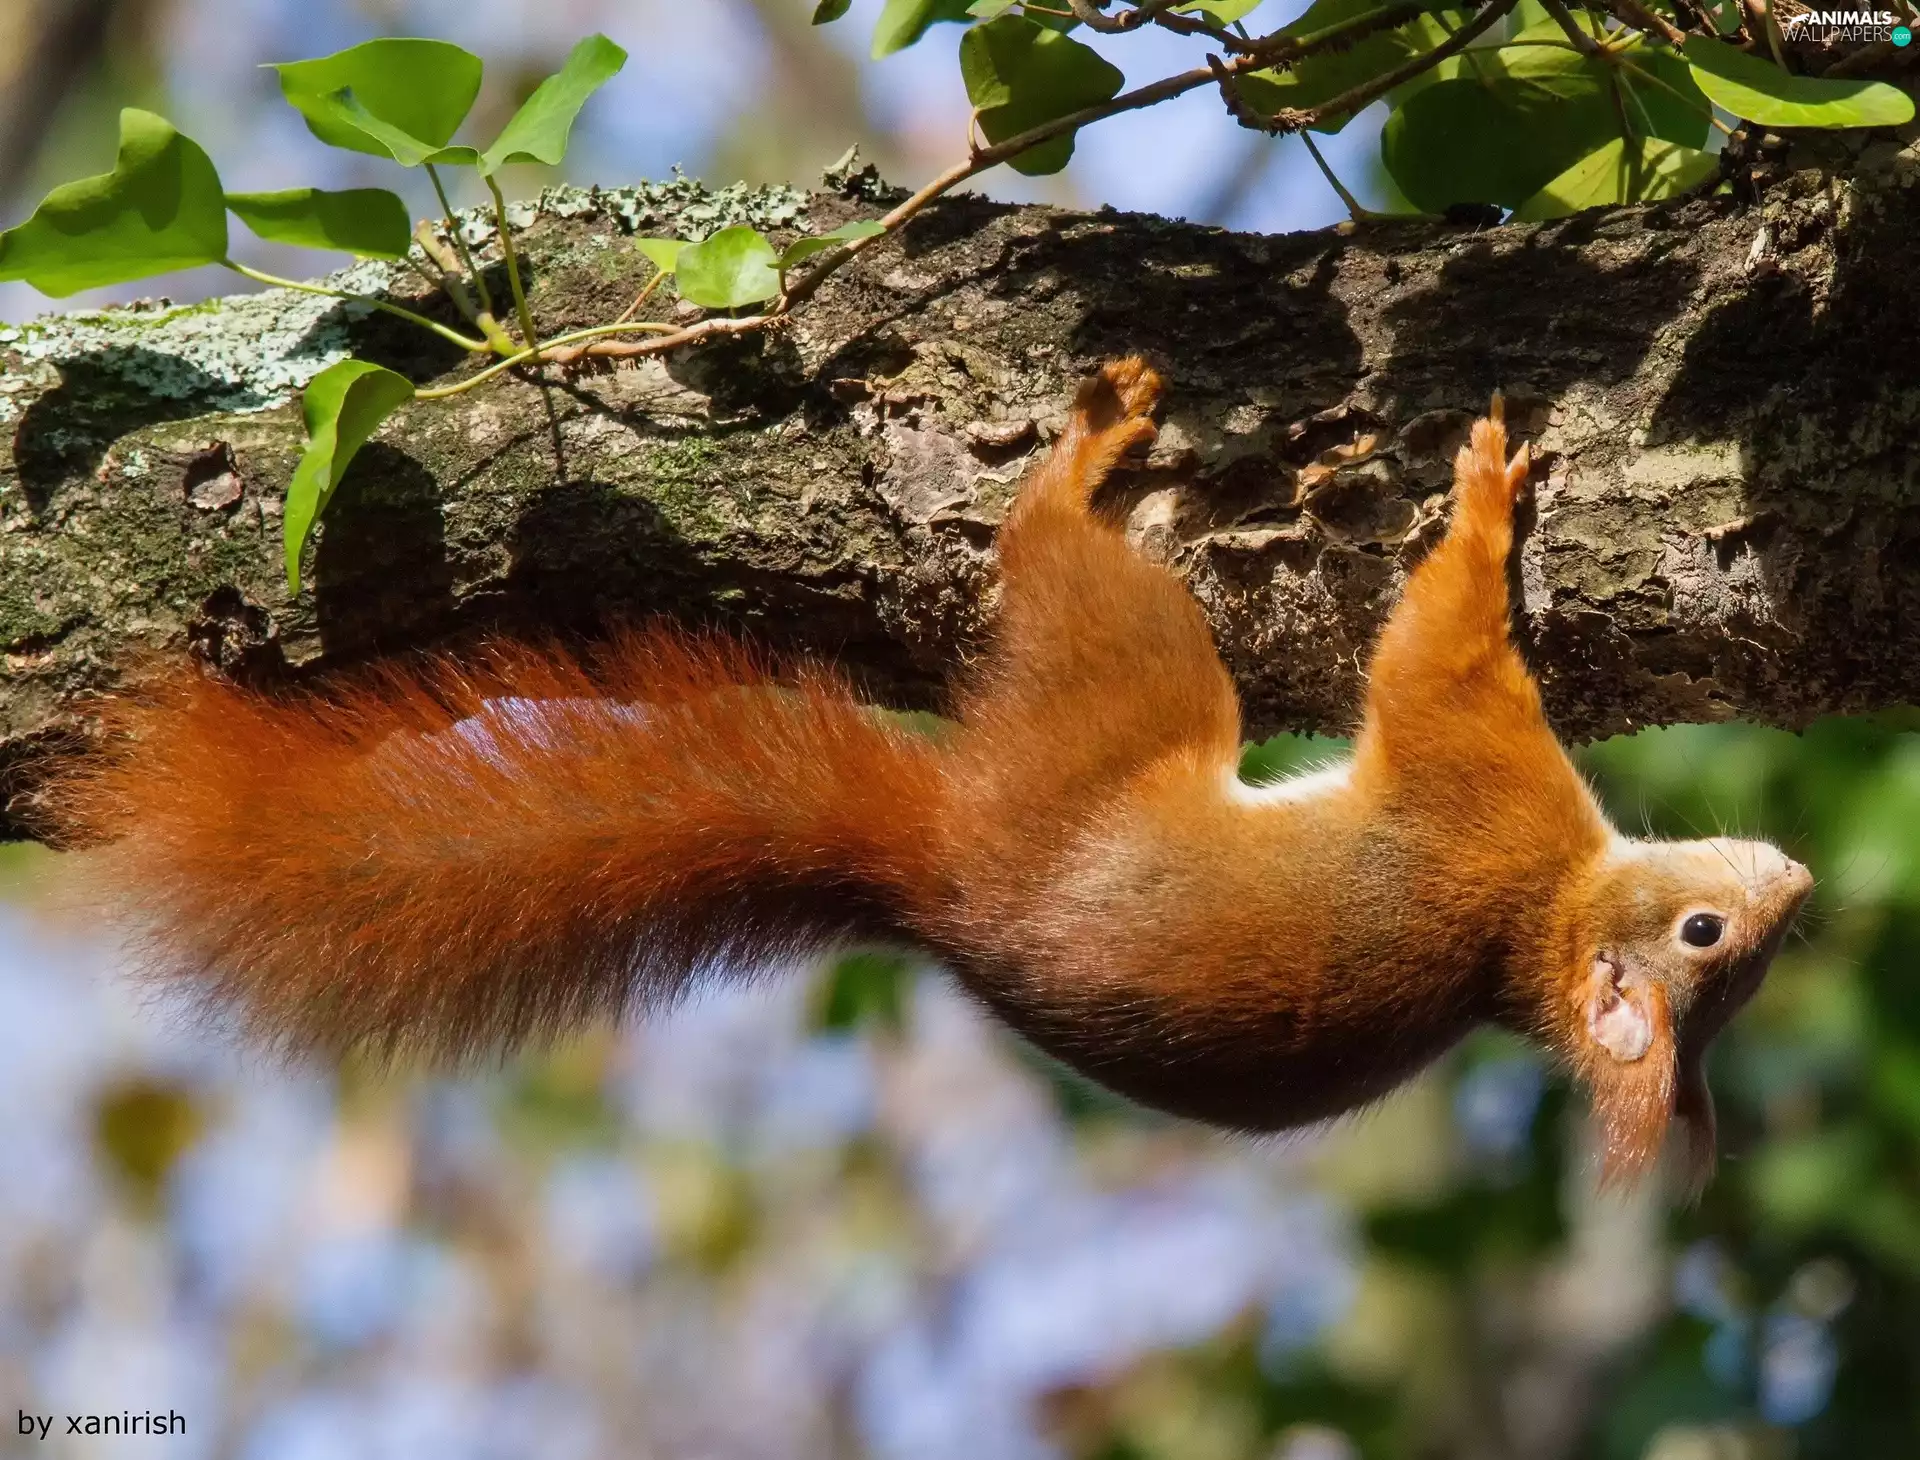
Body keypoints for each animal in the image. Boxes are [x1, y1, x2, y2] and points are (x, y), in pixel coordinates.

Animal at [51, 358, 1811, 1187]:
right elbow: (1440, 649)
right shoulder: (1487, 789)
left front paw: (1489, 502)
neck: (1543, 909)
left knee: (1066, 576)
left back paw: (1077, 466)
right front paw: (1498, 493)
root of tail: (942, 872)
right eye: (1713, 942)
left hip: (1127, 680)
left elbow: (1437, 650)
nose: (1794, 878)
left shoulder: (1475, 775)